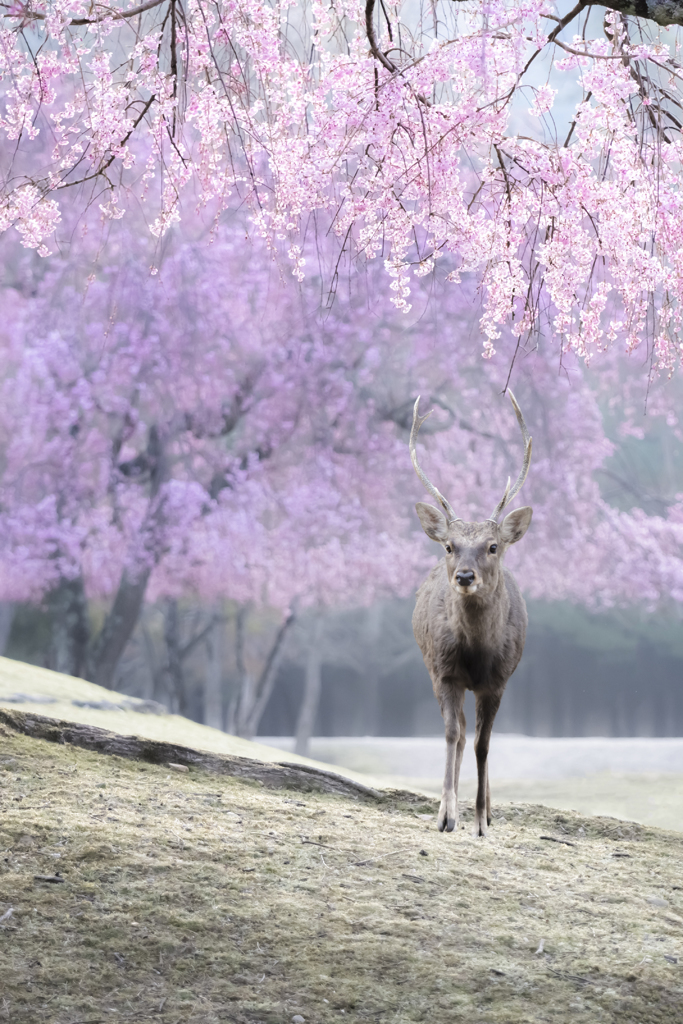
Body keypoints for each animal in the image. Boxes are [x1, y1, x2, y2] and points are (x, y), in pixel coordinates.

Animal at [409, 393, 532, 839]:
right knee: (461, 733)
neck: (476, 653)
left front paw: (481, 820)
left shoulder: (497, 681)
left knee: (479, 738)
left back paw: (489, 809)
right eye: (449, 546)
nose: (464, 576)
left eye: (492, 546)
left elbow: (484, 744)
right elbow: (452, 735)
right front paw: (447, 814)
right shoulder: (444, 672)